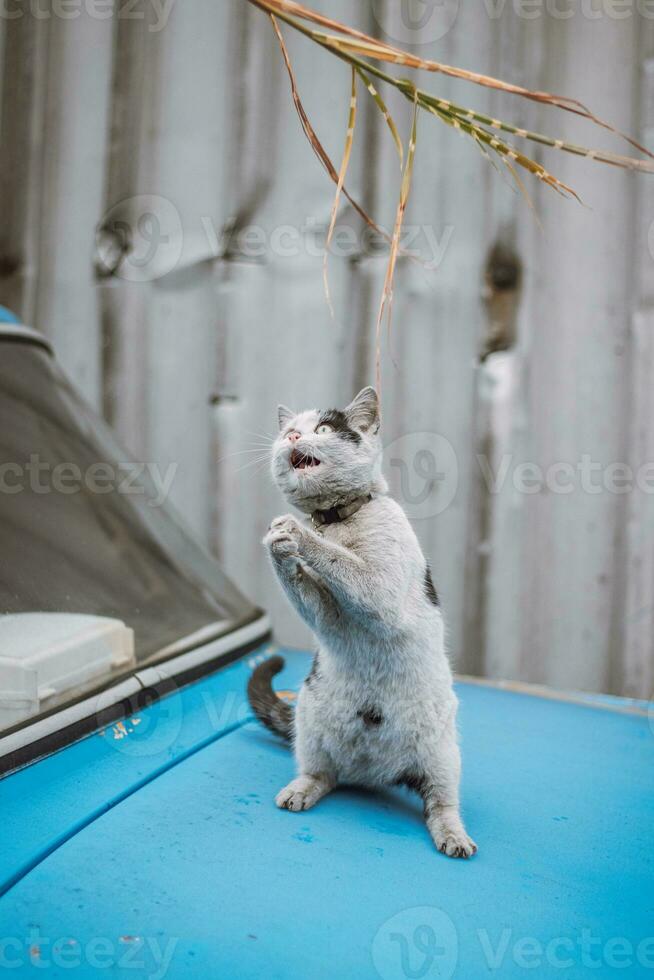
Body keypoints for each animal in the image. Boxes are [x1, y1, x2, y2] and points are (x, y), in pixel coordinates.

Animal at [249, 384, 480, 856]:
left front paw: (295, 532)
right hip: (309, 723)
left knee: (440, 802)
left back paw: (454, 836)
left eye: (321, 429)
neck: (335, 520)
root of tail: (372, 772)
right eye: (287, 430)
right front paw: (279, 545)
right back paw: (300, 790)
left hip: (444, 756)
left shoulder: (380, 594)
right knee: (322, 773)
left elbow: (344, 563)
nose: (293, 438)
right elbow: (305, 587)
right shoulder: (327, 615)